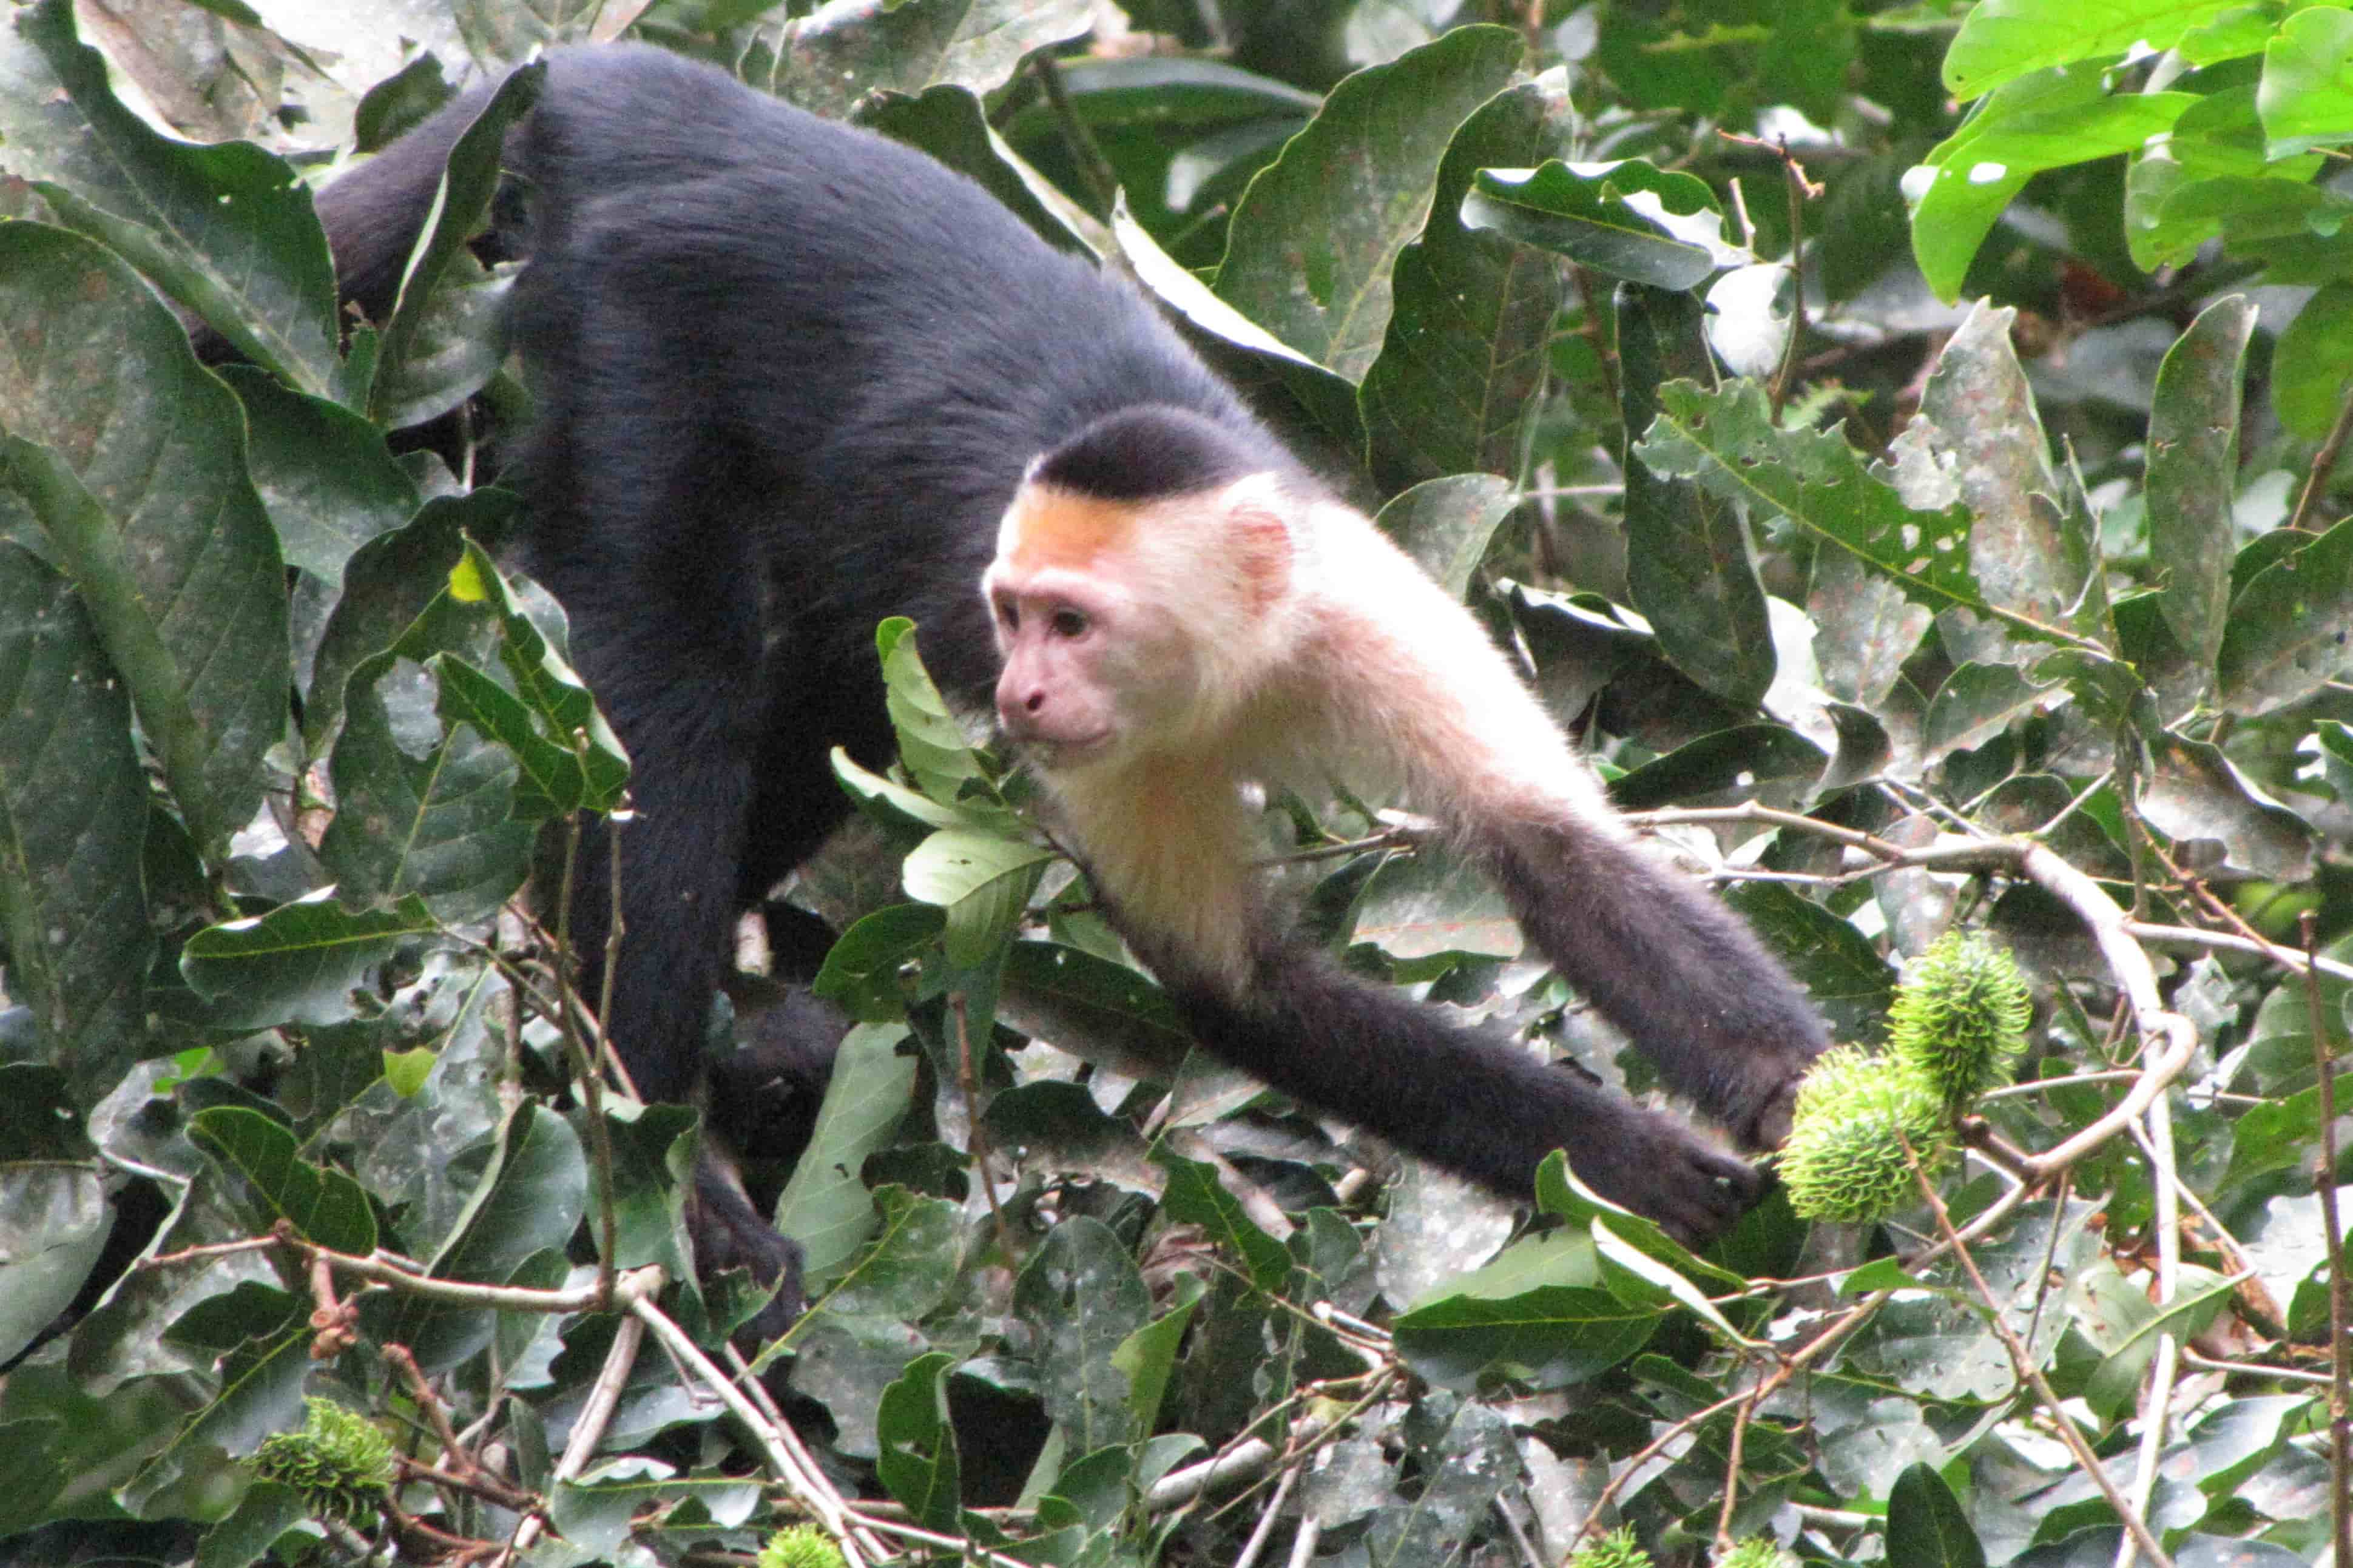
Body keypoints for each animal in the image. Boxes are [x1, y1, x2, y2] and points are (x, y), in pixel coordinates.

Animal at [308, 46, 1816, 1325]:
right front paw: (1640, 1160)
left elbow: (1545, 857)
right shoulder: (1117, 746)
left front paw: (1780, 1101)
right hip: (618, 325)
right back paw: (669, 1147)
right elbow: (1242, 995)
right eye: (1017, 615)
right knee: (683, 699)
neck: (1237, 676)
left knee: (827, 683)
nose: (1026, 693)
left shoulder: (1363, 611)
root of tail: (638, 91)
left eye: (1069, 624)